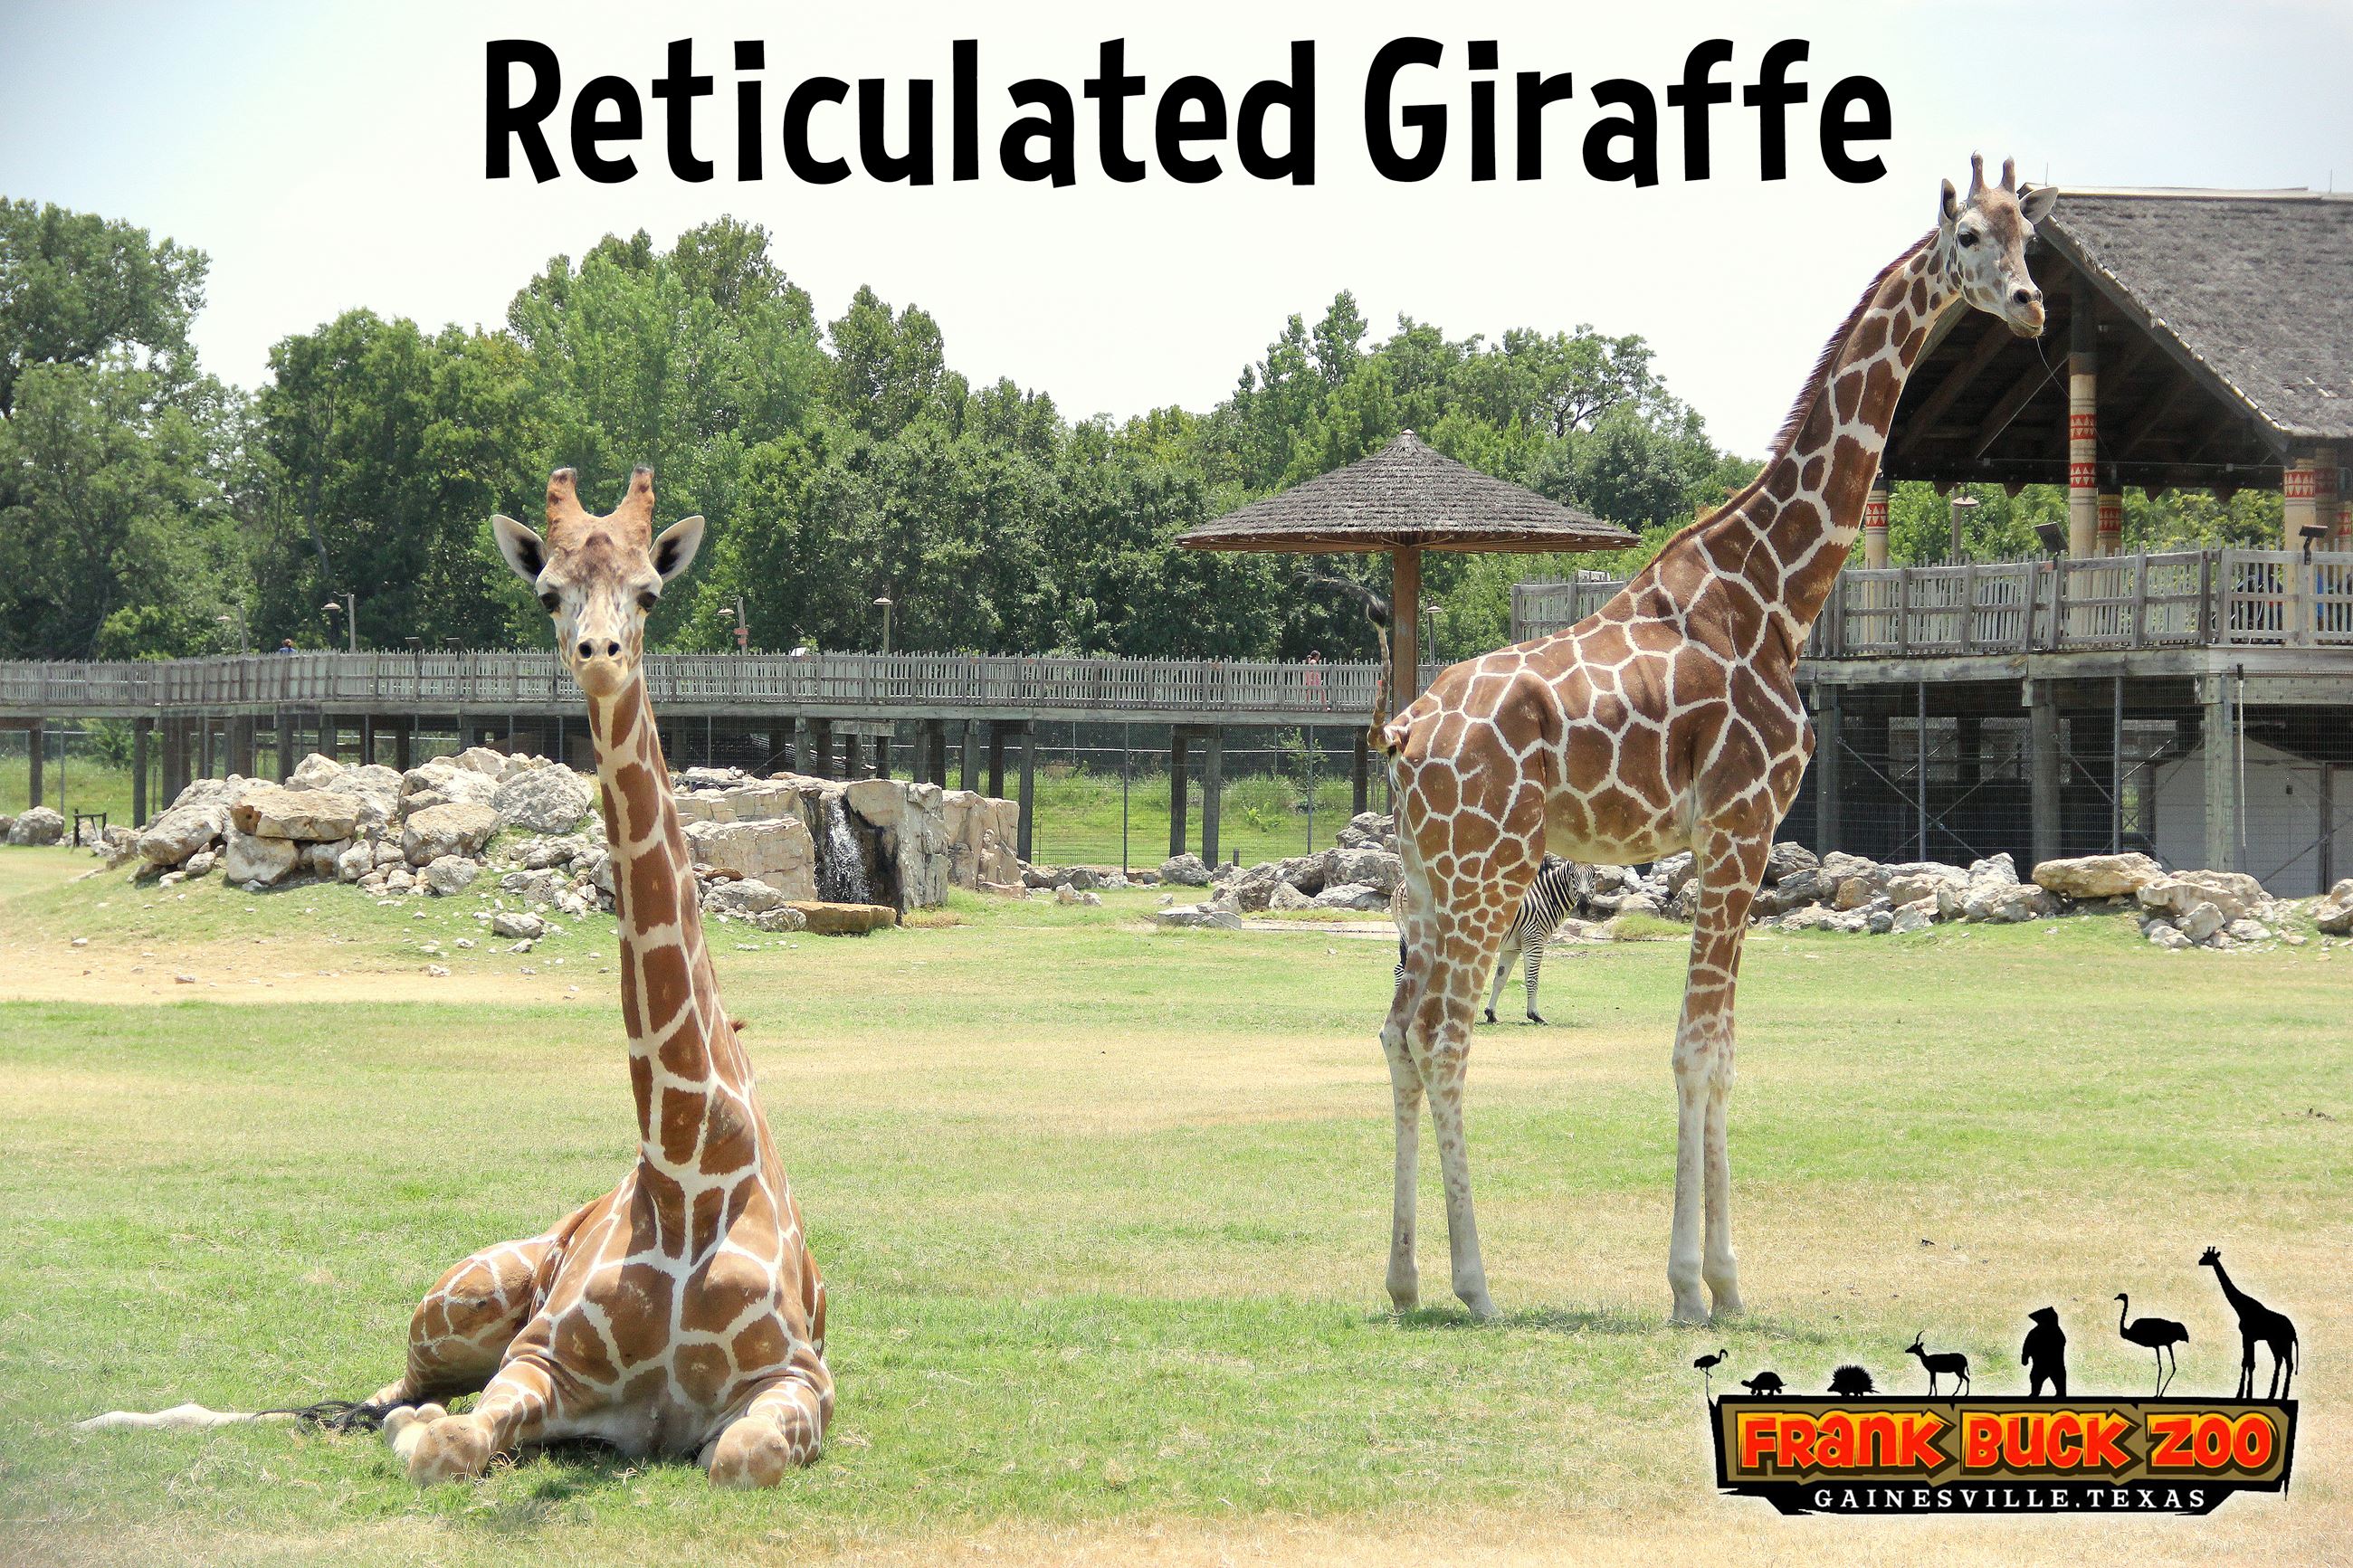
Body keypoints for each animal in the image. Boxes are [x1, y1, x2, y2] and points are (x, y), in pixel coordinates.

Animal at [374, 467, 831, 1485]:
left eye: (650, 592)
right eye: (549, 592)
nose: (599, 653)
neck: (686, 1169)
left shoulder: (801, 1377)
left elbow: (739, 1453)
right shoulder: (539, 1356)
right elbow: (447, 1444)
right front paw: (421, 1433)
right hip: (464, 1295)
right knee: (404, 1380)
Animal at [1375, 157, 2055, 1324]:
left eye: (2030, 239)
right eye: (1967, 235)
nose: (2027, 306)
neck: (1774, 595)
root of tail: (1409, 726)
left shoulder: (1730, 839)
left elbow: (1724, 1050)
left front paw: (1727, 1279)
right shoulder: (1739, 826)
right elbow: (1696, 1050)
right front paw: (1693, 1284)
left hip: (1428, 874)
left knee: (1396, 1033)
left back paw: (1405, 1274)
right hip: (1487, 867)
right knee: (1444, 1036)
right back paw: (1475, 1283)